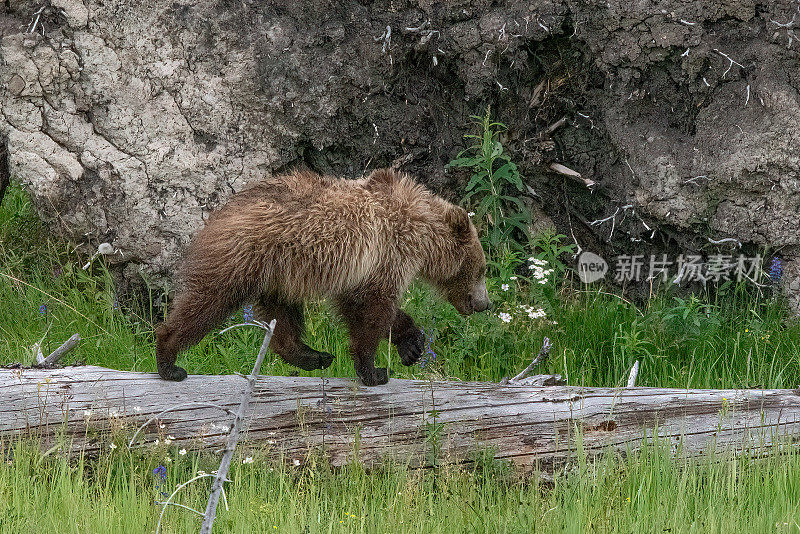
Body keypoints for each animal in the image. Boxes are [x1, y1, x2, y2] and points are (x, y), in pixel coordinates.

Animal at [157, 168, 490, 386]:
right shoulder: (387, 251)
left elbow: (364, 306)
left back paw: (313, 355)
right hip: (243, 258)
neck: (421, 232)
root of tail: (218, 212)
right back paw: (168, 360)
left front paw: (411, 345)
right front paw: (374, 371)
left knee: (282, 315)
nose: (484, 304)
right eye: (482, 269)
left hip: (277, 273)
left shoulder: (365, 267)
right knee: (208, 301)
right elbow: (372, 311)